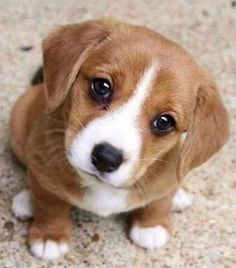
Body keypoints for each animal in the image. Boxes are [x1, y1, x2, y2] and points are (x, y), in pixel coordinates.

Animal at [10, 19, 229, 260]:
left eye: (164, 122)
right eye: (101, 86)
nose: (106, 158)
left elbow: (158, 202)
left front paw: (151, 226)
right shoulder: (44, 171)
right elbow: (50, 205)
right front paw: (50, 237)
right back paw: (26, 200)